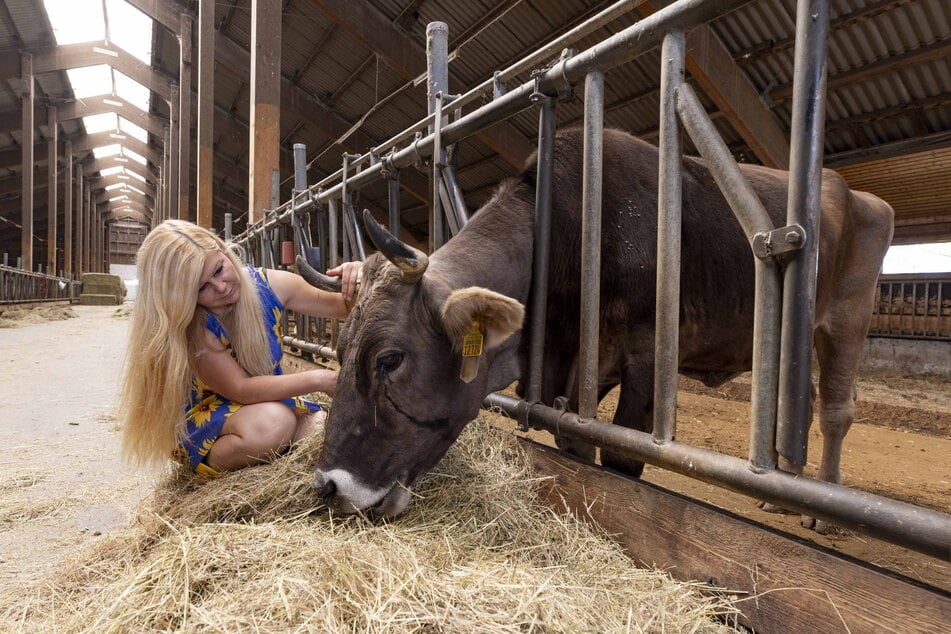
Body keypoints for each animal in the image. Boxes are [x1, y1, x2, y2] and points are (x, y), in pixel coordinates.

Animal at [308, 126, 896, 520]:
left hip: (848, 315)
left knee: (837, 410)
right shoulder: (582, 370)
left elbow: (620, 459)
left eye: (389, 359)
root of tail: (857, 191)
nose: (329, 486)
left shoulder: (646, 359)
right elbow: (576, 446)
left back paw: (820, 509)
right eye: (341, 349)